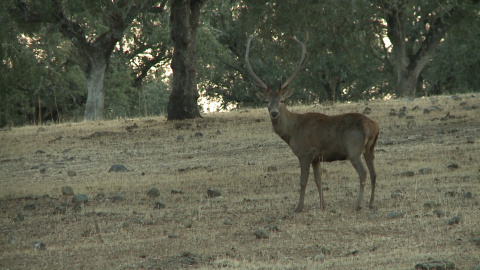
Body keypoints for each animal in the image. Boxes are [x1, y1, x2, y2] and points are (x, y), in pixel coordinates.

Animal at [248, 35, 378, 213]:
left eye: (282, 100)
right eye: (266, 101)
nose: (274, 113)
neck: (292, 131)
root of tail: (373, 126)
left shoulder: (305, 153)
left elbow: (303, 181)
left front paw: (299, 207)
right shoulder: (317, 157)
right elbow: (318, 180)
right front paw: (323, 205)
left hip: (353, 148)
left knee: (363, 172)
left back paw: (358, 205)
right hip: (370, 148)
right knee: (374, 173)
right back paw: (371, 203)